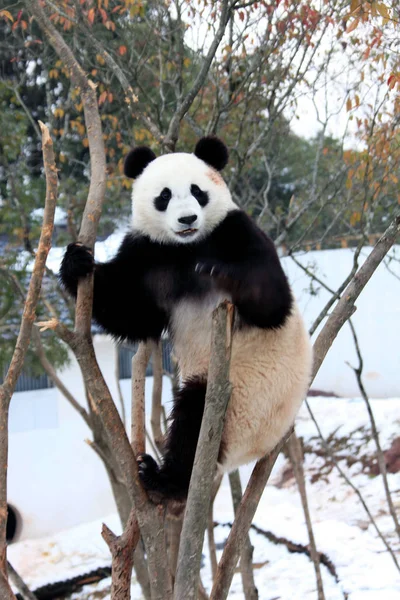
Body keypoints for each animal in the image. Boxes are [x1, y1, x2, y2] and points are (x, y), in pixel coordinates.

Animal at [60, 138, 312, 500]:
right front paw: (77, 263)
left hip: (242, 397)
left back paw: (164, 477)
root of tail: (253, 450)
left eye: (197, 191)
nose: (187, 218)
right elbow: (130, 311)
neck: (187, 248)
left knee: (194, 414)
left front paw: (223, 273)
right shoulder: (149, 253)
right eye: (164, 196)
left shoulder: (237, 231)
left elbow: (274, 304)